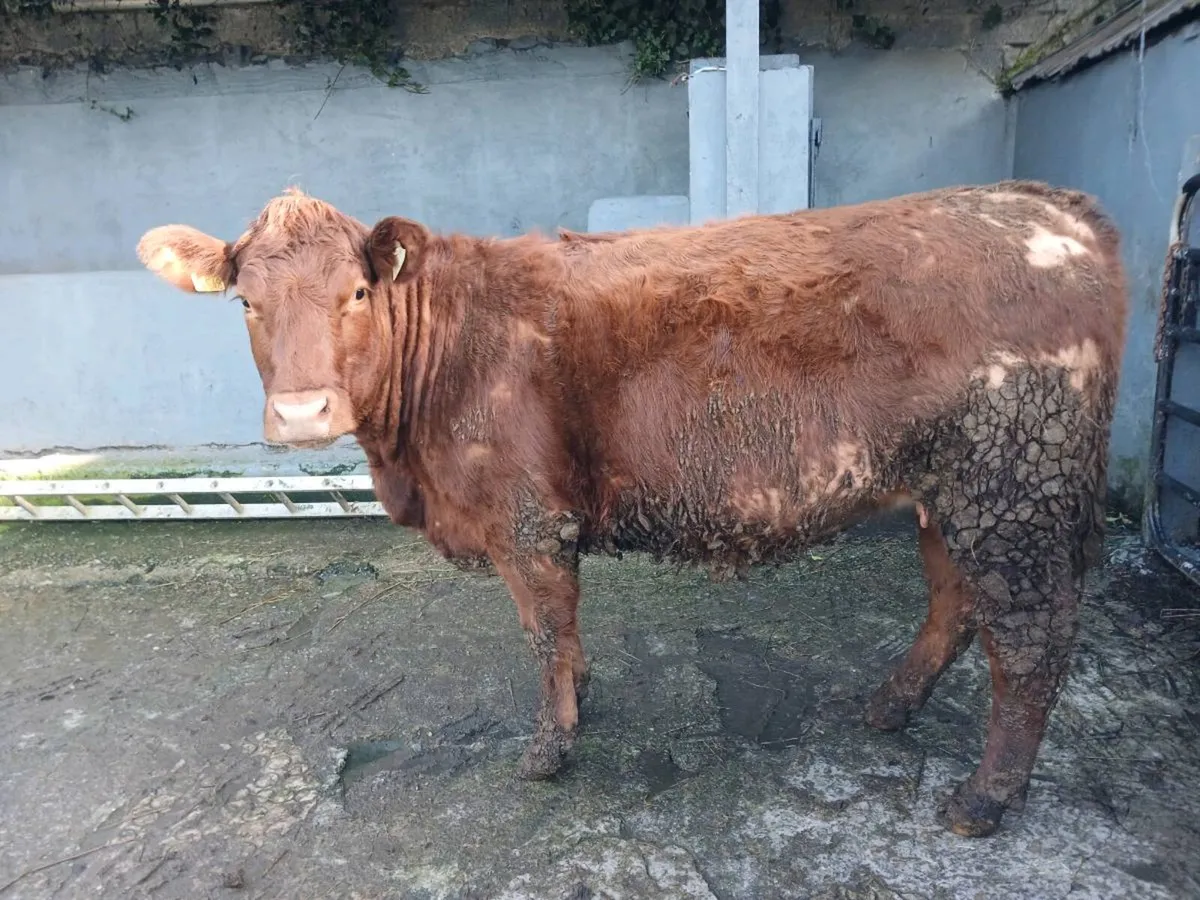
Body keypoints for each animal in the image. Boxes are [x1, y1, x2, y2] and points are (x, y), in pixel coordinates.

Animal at [136, 180, 1127, 837]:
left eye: (354, 292)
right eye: (245, 302)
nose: (303, 413)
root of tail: (1047, 207)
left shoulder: (523, 520)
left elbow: (543, 630)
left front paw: (550, 747)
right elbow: (566, 631)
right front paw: (583, 694)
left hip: (1014, 489)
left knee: (1032, 642)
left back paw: (984, 799)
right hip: (952, 491)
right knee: (955, 603)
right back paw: (891, 706)